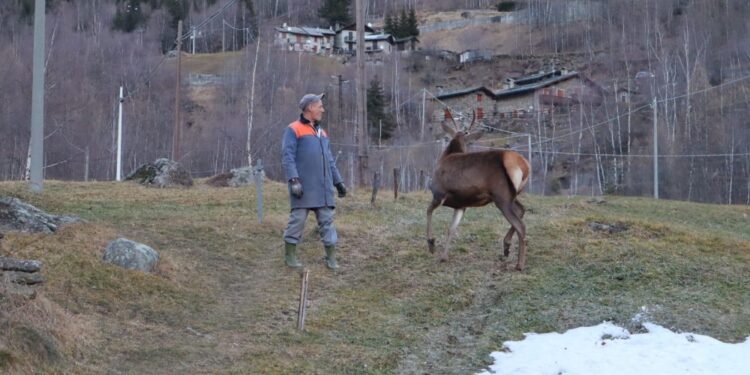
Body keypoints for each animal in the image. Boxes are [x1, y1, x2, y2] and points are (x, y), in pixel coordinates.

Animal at [426, 111, 532, 270]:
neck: (445, 157)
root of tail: (523, 164)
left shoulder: (439, 193)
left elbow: (428, 211)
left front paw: (431, 243)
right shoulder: (461, 205)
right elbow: (451, 228)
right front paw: (444, 257)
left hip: (502, 196)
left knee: (521, 225)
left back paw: (519, 264)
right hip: (512, 195)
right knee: (522, 209)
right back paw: (506, 247)